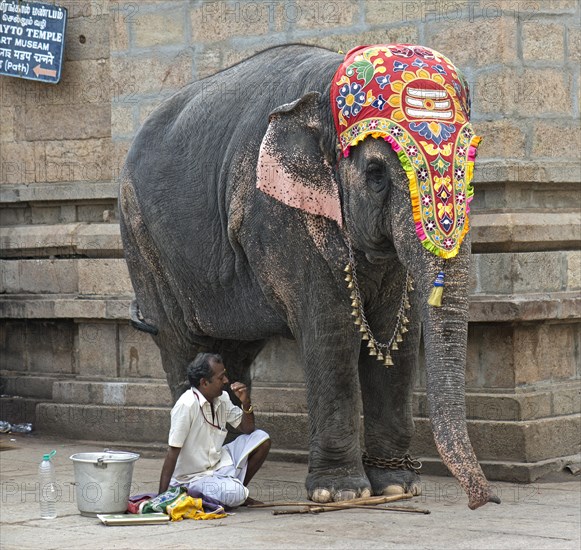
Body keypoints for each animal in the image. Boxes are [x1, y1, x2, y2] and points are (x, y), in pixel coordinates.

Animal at [118, 44, 498, 512]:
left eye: (472, 164)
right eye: (375, 174)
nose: (485, 500)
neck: (325, 87)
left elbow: (399, 337)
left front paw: (396, 487)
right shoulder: (282, 219)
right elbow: (331, 331)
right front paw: (341, 493)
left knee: (232, 350)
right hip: (142, 241)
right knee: (180, 343)